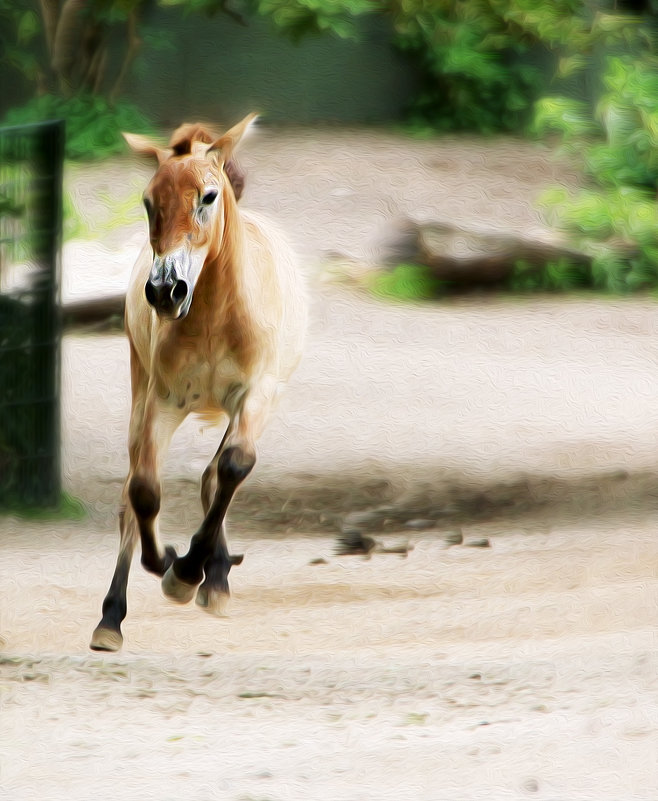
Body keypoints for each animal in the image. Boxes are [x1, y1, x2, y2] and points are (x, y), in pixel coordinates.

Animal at [89, 112, 308, 648]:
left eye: (208, 197)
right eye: (149, 202)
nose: (166, 290)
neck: (213, 318)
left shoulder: (256, 395)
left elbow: (231, 467)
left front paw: (190, 573)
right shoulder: (163, 402)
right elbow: (144, 491)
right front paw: (170, 566)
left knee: (215, 474)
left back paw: (215, 578)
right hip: (140, 392)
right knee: (131, 494)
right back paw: (111, 619)